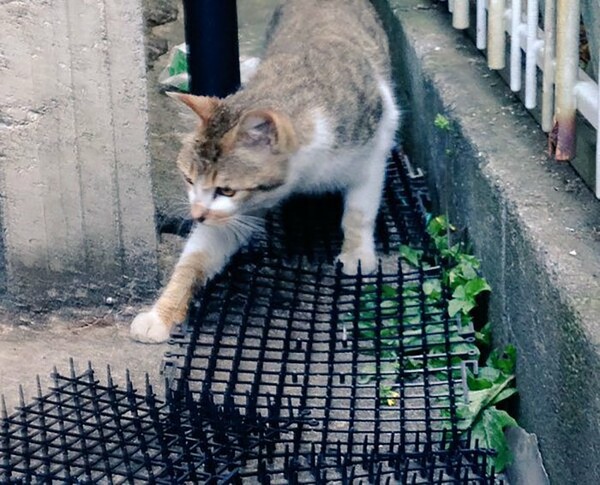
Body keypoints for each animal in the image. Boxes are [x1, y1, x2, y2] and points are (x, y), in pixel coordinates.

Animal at [131, 0, 398, 342]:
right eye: (189, 179)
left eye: (226, 190)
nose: (197, 215)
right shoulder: (235, 212)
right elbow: (197, 256)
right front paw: (160, 314)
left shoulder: (374, 147)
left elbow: (358, 213)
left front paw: (357, 254)